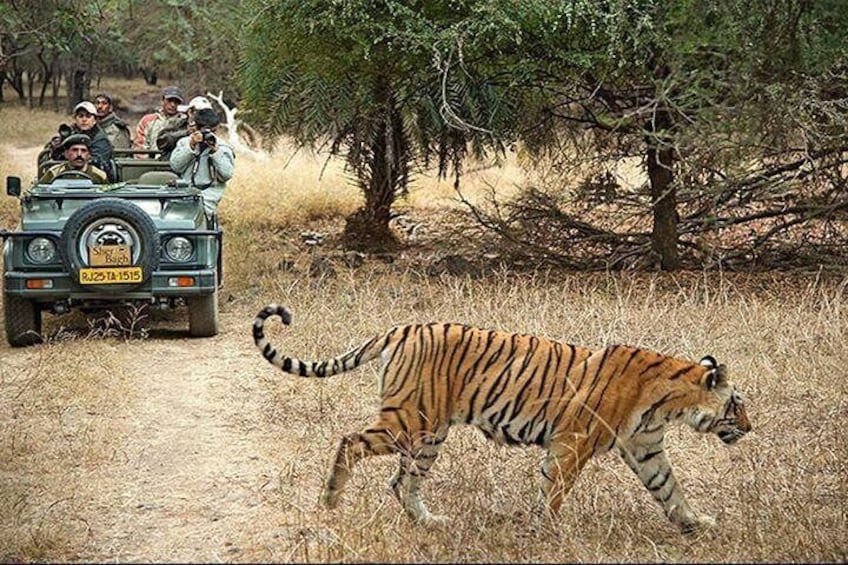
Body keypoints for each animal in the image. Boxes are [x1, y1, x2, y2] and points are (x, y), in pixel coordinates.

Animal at [252, 304, 748, 532]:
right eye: (737, 404)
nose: (750, 428)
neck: (670, 401)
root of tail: (400, 328)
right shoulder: (573, 443)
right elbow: (555, 490)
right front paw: (549, 530)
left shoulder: (645, 449)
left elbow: (669, 487)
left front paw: (695, 524)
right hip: (408, 421)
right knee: (351, 441)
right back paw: (331, 500)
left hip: (429, 435)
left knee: (400, 482)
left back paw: (429, 521)